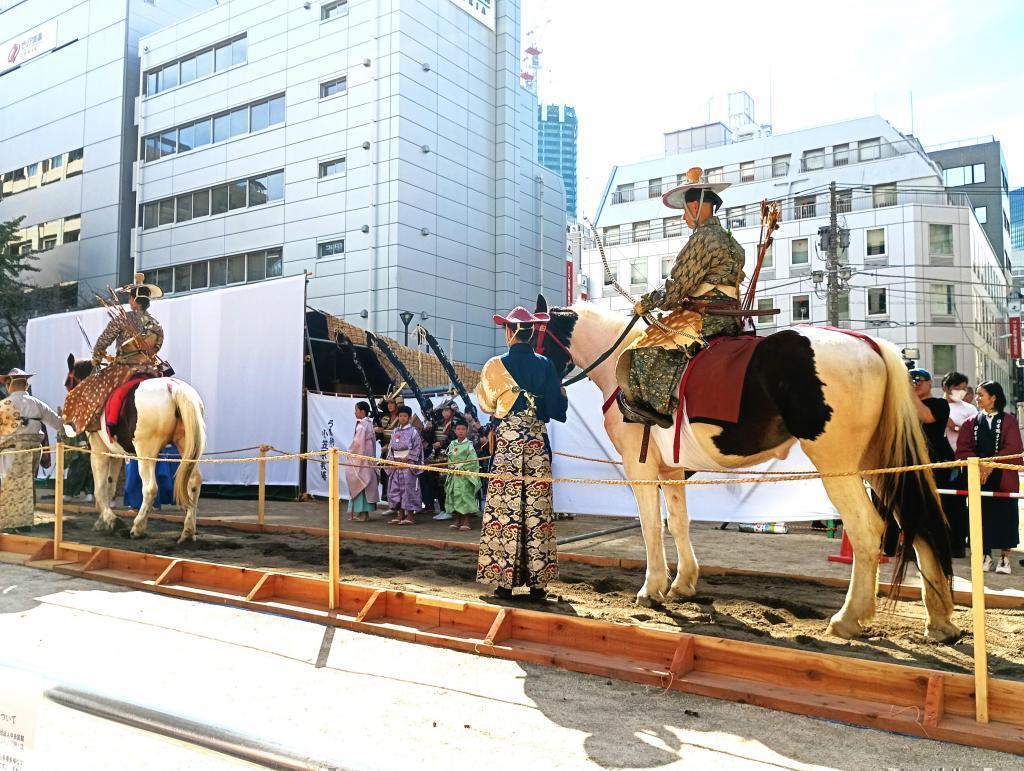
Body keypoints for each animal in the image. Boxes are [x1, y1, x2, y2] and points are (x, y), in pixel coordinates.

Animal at [65, 358, 206, 544]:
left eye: (67, 382)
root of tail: (173, 387)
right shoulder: (115, 454)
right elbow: (110, 485)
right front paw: (103, 521)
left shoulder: (99, 450)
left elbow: (100, 489)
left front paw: (111, 520)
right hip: (185, 446)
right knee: (194, 482)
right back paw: (188, 531)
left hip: (146, 451)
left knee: (150, 488)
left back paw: (138, 527)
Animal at [536, 296, 958, 638]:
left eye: (529, 336)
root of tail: (867, 344)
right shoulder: (671, 471)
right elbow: (679, 522)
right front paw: (683, 583)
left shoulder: (639, 466)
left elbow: (651, 524)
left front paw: (651, 588)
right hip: (878, 461)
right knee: (918, 523)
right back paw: (939, 621)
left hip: (839, 465)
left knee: (869, 529)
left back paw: (849, 617)